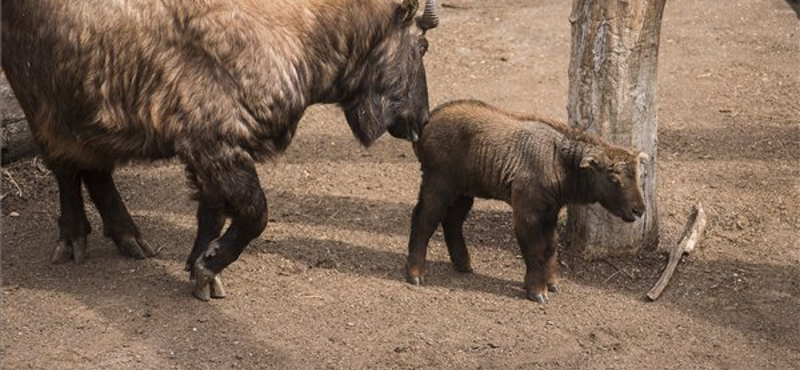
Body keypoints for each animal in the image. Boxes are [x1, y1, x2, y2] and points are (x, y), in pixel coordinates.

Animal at [1, 0, 438, 300]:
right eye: (422, 45)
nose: (421, 120)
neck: (297, 30)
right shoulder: (214, 144)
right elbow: (256, 214)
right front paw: (208, 266)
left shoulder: (211, 156)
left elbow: (212, 212)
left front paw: (199, 266)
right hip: (43, 103)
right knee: (65, 168)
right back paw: (74, 237)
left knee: (95, 169)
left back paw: (129, 236)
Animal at [410, 99, 648, 304]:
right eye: (614, 178)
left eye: (638, 176)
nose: (639, 210)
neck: (557, 159)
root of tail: (429, 120)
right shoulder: (527, 213)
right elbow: (534, 249)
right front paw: (537, 290)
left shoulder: (550, 213)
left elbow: (551, 246)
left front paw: (552, 282)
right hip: (438, 185)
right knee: (424, 219)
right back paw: (415, 274)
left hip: (464, 193)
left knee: (452, 222)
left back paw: (463, 265)